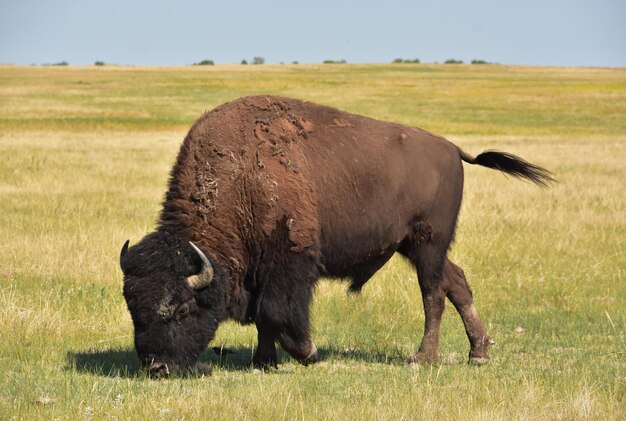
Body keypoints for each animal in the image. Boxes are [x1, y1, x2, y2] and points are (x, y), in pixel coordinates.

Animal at [118, 96, 552, 378]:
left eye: (181, 310)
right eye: (134, 310)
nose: (156, 367)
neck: (241, 179)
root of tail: (453, 150)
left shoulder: (291, 264)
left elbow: (273, 313)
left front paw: (308, 353)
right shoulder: (261, 271)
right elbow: (263, 319)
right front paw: (263, 362)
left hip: (428, 244)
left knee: (433, 294)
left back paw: (422, 358)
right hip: (416, 247)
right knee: (456, 283)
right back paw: (478, 353)